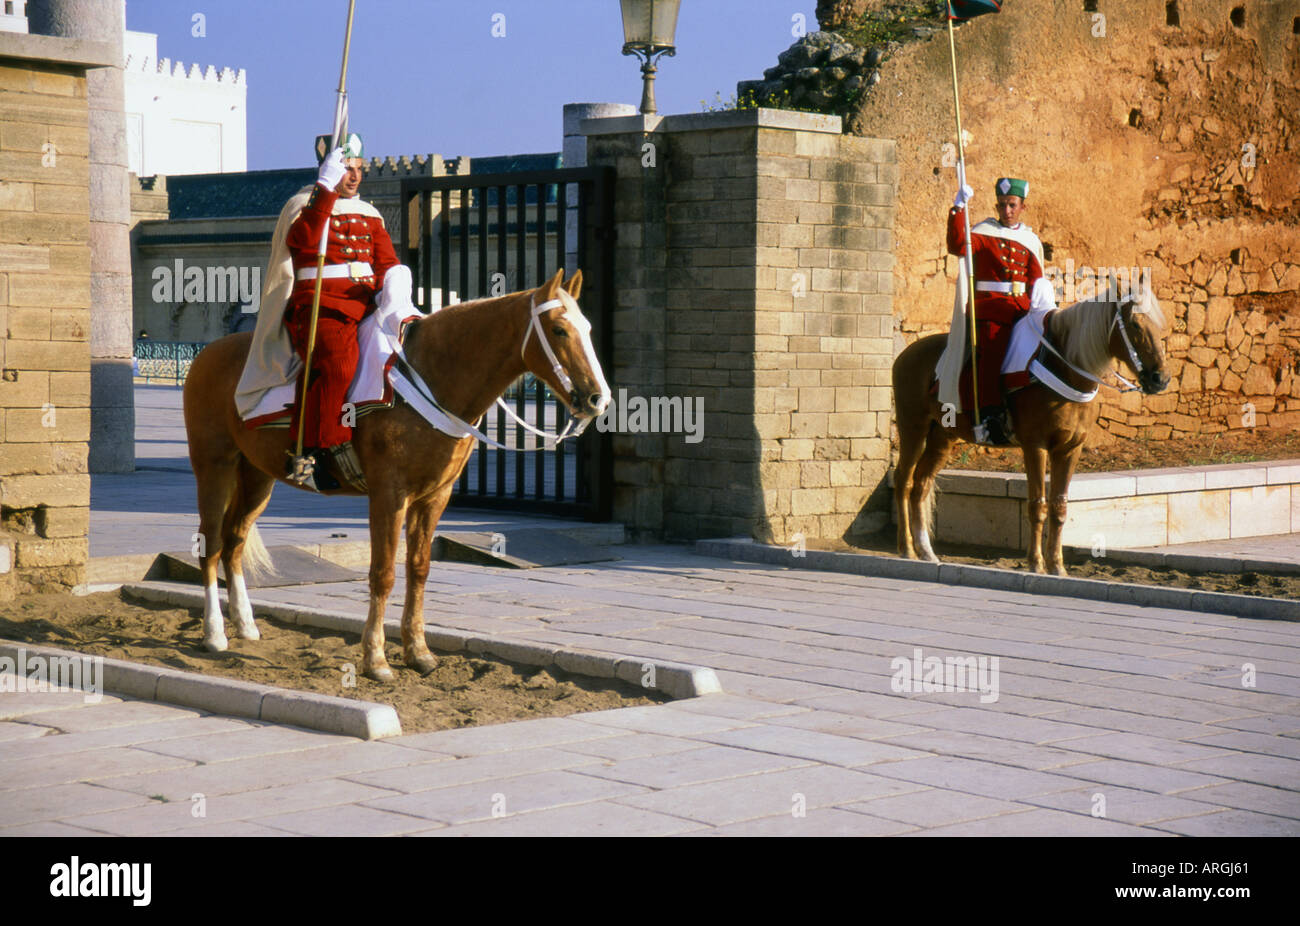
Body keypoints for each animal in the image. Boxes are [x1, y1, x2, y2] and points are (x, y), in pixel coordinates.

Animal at [183, 267, 608, 681]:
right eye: (559, 329)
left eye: (588, 328)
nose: (598, 399)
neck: (433, 378)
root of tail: (209, 353)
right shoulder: (389, 495)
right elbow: (383, 572)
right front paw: (376, 659)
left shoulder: (434, 496)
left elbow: (418, 569)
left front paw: (418, 652)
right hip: (214, 467)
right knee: (212, 543)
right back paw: (214, 633)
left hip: (258, 476)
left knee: (235, 542)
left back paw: (246, 625)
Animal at [894, 286, 1170, 574]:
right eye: (1135, 324)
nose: (1160, 379)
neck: (1064, 366)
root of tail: (906, 354)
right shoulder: (1035, 446)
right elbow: (1038, 505)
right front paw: (1036, 564)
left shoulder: (1070, 449)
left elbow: (1059, 507)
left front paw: (1057, 566)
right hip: (913, 427)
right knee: (903, 481)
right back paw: (906, 549)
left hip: (943, 436)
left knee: (921, 485)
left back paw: (926, 552)